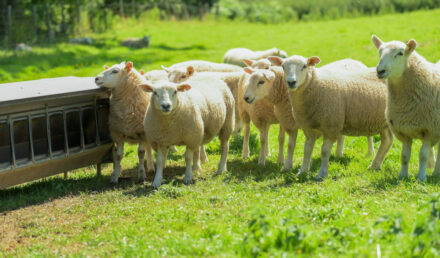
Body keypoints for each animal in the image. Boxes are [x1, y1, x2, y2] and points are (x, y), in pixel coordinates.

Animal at [268, 54, 396, 179]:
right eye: (283, 66)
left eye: (304, 66)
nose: (291, 82)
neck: (316, 86)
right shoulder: (308, 127)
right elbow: (307, 149)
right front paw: (302, 171)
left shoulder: (330, 126)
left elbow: (324, 151)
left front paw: (321, 174)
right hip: (383, 122)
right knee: (387, 140)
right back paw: (375, 165)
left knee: (387, 140)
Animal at [372, 34, 440, 181]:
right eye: (380, 52)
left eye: (400, 53)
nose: (380, 71)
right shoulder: (403, 131)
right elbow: (404, 156)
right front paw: (403, 176)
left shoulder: (430, 130)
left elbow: (423, 155)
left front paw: (421, 178)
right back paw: (435, 171)